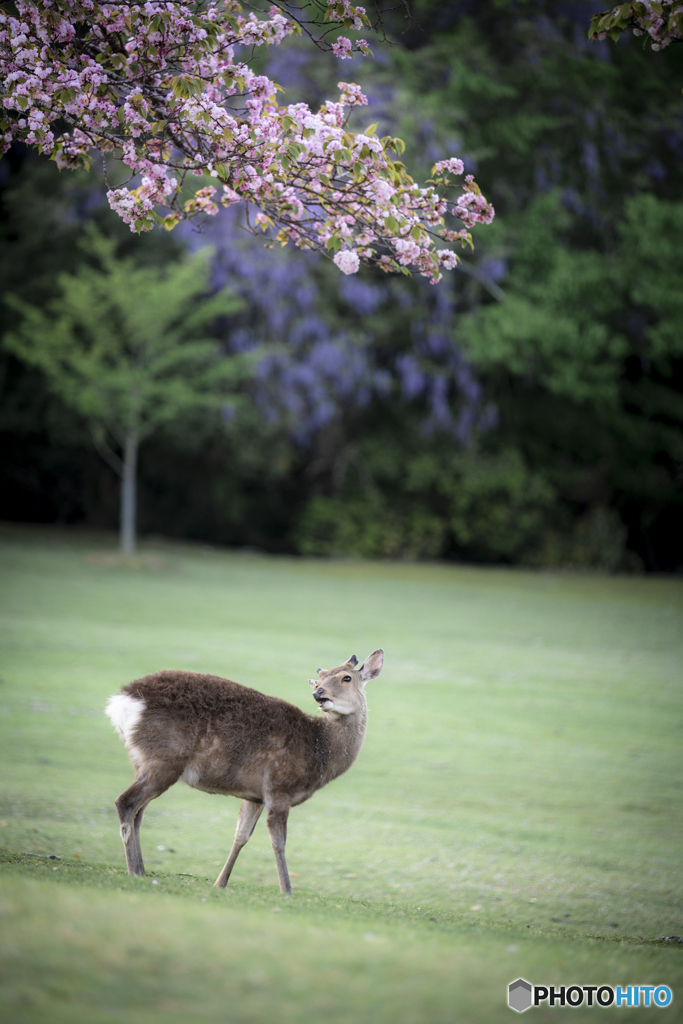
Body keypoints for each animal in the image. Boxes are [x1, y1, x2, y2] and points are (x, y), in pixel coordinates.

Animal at [107, 651, 385, 892]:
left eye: (346, 677)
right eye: (319, 678)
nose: (318, 693)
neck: (320, 752)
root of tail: (121, 702)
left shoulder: (255, 795)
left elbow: (241, 835)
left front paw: (219, 883)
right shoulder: (279, 786)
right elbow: (278, 842)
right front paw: (286, 890)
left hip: (143, 760)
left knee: (139, 812)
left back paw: (141, 870)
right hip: (164, 759)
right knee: (126, 802)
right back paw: (134, 871)